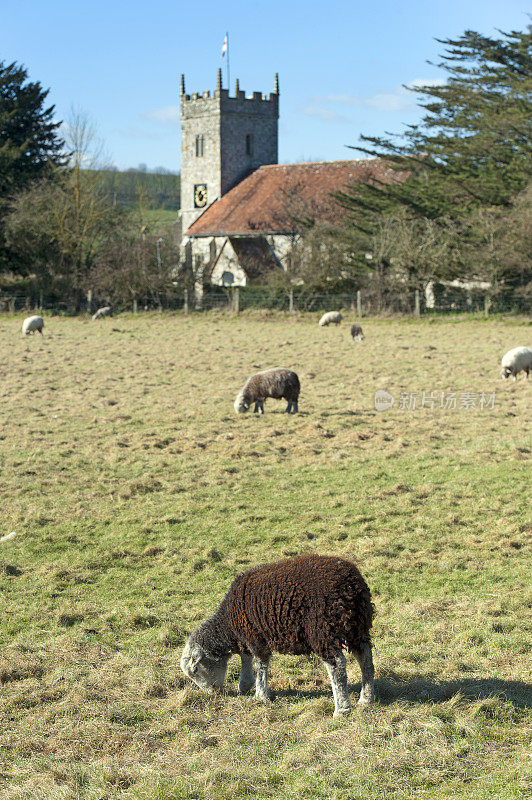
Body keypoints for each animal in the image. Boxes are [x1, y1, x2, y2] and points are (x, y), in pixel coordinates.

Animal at [181, 552, 376, 716]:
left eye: (195, 670)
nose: (212, 695)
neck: (229, 624)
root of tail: (349, 585)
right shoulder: (246, 637)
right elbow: (246, 658)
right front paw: (245, 685)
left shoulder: (256, 636)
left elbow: (260, 665)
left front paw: (261, 694)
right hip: (358, 626)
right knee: (365, 658)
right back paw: (366, 699)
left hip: (322, 629)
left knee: (337, 666)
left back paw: (342, 710)